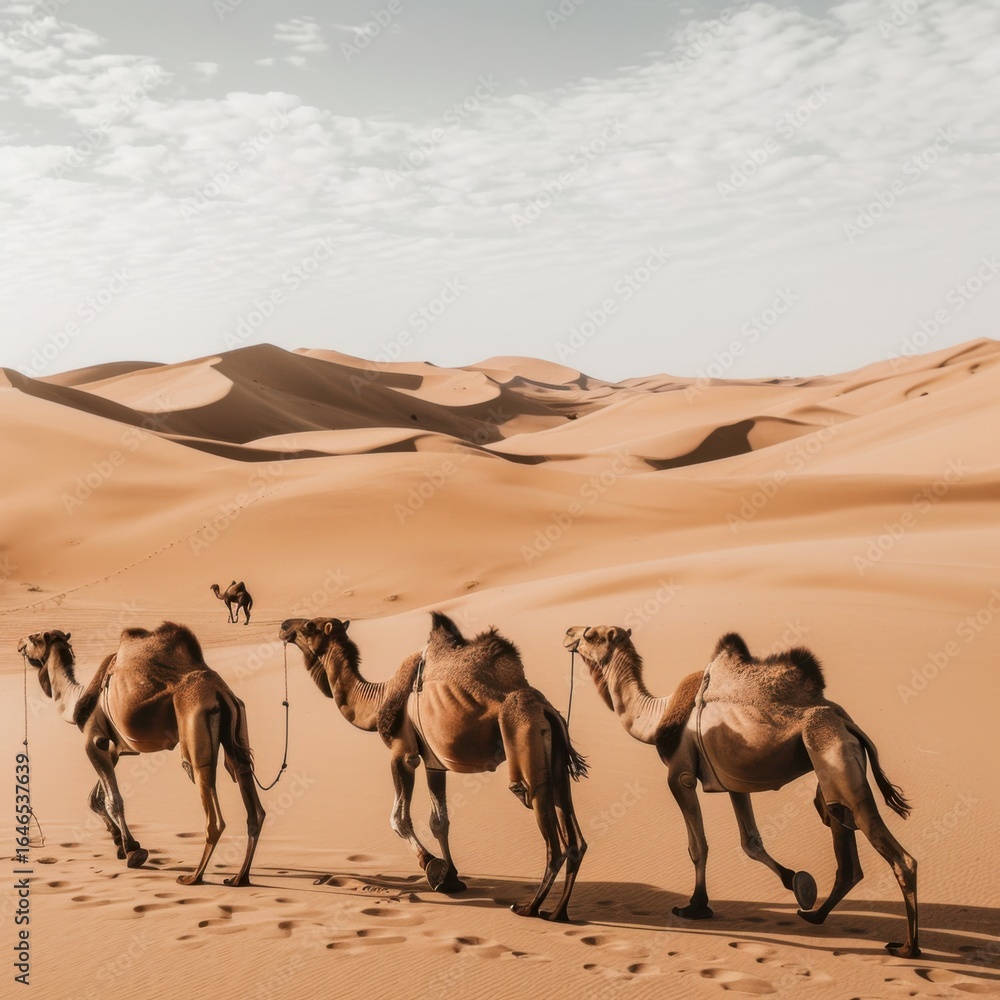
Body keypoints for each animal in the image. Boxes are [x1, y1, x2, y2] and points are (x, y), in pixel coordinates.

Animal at [18, 623, 265, 887]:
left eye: (33, 637)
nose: (19, 643)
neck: (77, 701)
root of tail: (220, 693)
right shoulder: (114, 748)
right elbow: (95, 798)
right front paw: (119, 843)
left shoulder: (94, 740)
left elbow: (113, 800)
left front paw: (133, 850)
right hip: (237, 723)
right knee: (250, 797)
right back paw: (239, 877)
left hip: (195, 728)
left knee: (210, 804)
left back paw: (194, 877)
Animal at [279, 612, 588, 921]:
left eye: (309, 626)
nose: (283, 627)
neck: (378, 701)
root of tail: (545, 708)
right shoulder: (434, 763)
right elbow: (439, 821)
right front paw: (452, 877)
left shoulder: (403, 753)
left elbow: (399, 819)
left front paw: (432, 866)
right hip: (555, 757)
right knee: (574, 839)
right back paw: (558, 912)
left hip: (524, 740)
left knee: (551, 838)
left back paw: (529, 907)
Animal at [565, 625, 919, 958]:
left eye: (591, 634)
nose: (568, 633)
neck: (656, 718)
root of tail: (847, 723)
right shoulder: (733, 782)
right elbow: (751, 842)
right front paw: (796, 881)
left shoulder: (680, 775)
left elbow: (698, 846)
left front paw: (695, 906)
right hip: (831, 773)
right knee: (843, 842)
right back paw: (814, 915)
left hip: (834, 754)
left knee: (896, 855)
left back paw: (907, 948)